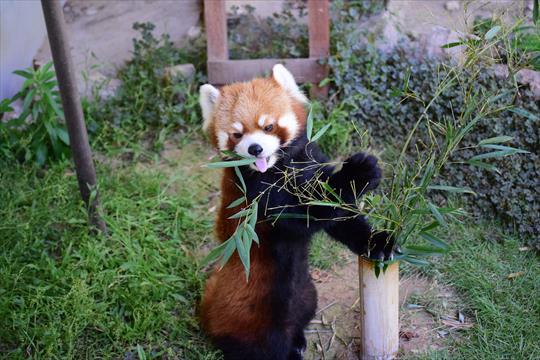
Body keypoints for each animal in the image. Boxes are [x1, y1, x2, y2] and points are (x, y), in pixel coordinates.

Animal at [199, 65, 392, 360]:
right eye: (237, 134)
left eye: (268, 126)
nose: (255, 148)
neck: (281, 167)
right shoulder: (257, 194)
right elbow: (300, 216)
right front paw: (358, 172)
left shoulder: (310, 162)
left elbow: (339, 218)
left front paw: (378, 243)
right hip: (256, 311)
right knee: (266, 346)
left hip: (307, 293)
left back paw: (299, 337)